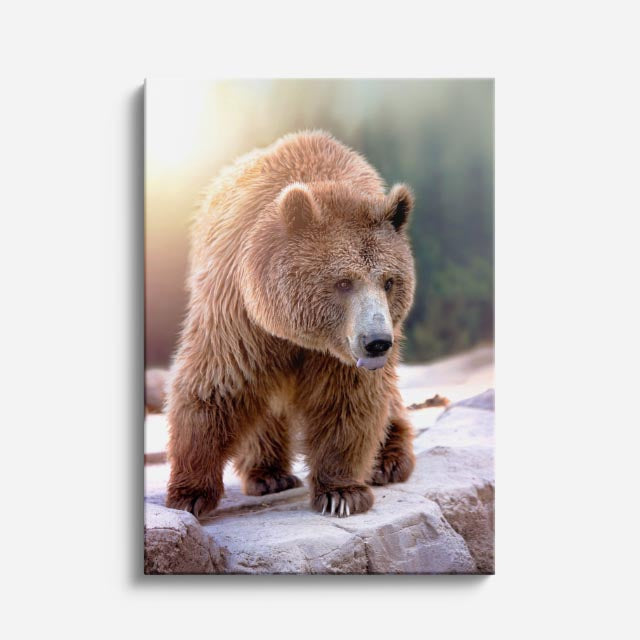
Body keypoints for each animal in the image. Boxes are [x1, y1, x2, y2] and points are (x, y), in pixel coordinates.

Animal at [165, 130, 416, 518]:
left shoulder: (341, 352)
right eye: (344, 282)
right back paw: (268, 474)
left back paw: (388, 461)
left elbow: (347, 399)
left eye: (389, 281)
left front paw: (342, 493)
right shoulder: (239, 315)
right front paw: (189, 493)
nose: (377, 341)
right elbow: (217, 384)